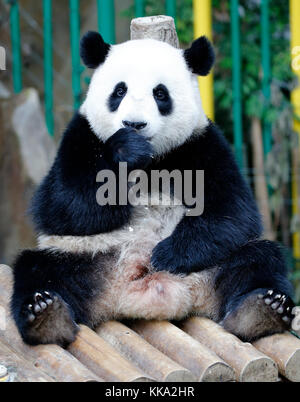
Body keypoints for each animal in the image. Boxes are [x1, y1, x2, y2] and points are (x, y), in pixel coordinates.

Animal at [10, 31, 294, 348]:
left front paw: (166, 255)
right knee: (38, 269)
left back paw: (261, 309)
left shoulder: (201, 144)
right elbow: (64, 206)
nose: (134, 124)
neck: (150, 161)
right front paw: (125, 148)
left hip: (214, 264)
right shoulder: (81, 136)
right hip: (82, 258)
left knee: (258, 259)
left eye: (160, 94)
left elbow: (234, 211)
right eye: (119, 91)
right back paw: (46, 315)